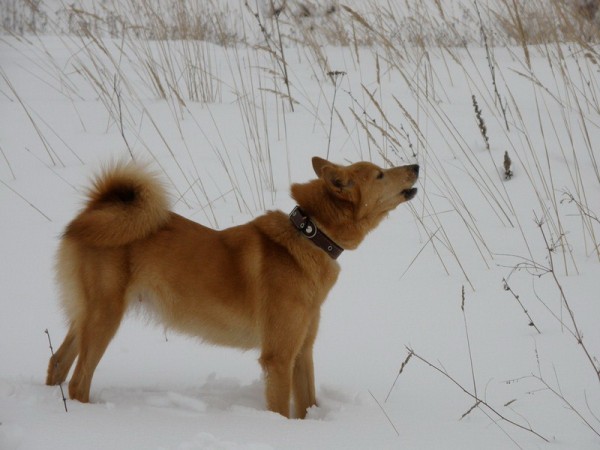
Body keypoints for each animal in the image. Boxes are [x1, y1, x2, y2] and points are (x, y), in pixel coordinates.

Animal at [45, 157, 418, 418]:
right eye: (380, 174)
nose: (415, 165)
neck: (310, 235)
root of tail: (94, 210)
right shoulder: (278, 358)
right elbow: (281, 410)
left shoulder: (302, 352)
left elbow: (308, 405)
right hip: (105, 317)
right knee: (78, 382)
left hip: (87, 318)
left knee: (57, 363)